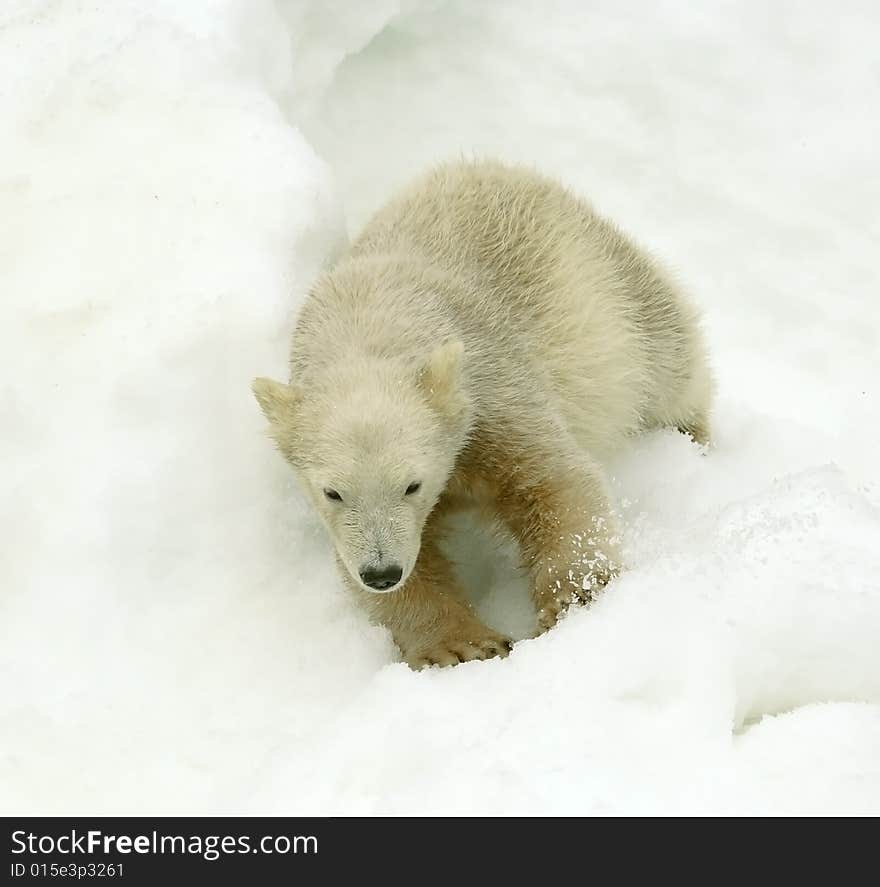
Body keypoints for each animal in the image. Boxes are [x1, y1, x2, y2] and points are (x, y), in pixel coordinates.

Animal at [251, 161, 712, 672]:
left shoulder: (492, 387)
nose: (381, 572)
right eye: (332, 492)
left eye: (411, 484)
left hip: (610, 290)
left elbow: (555, 481)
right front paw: (462, 646)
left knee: (667, 360)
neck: (367, 322)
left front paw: (576, 599)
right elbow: (402, 565)